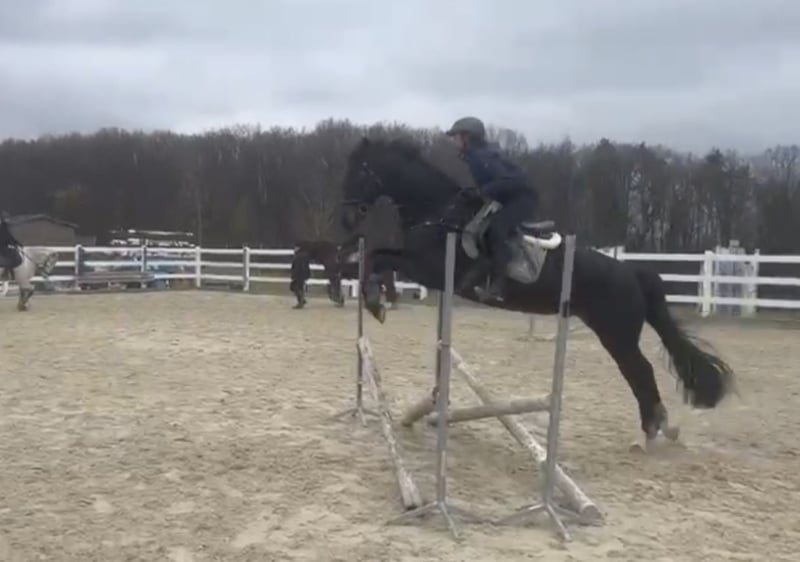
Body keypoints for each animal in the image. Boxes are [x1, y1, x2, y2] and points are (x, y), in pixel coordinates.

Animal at [339, 137, 735, 447]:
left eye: (360, 170)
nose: (346, 217)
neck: (437, 211)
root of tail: (631, 272)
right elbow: (377, 258)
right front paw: (379, 298)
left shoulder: (429, 268)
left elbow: (378, 257)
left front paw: (375, 301)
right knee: (640, 371)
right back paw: (660, 427)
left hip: (616, 333)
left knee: (640, 370)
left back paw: (653, 429)